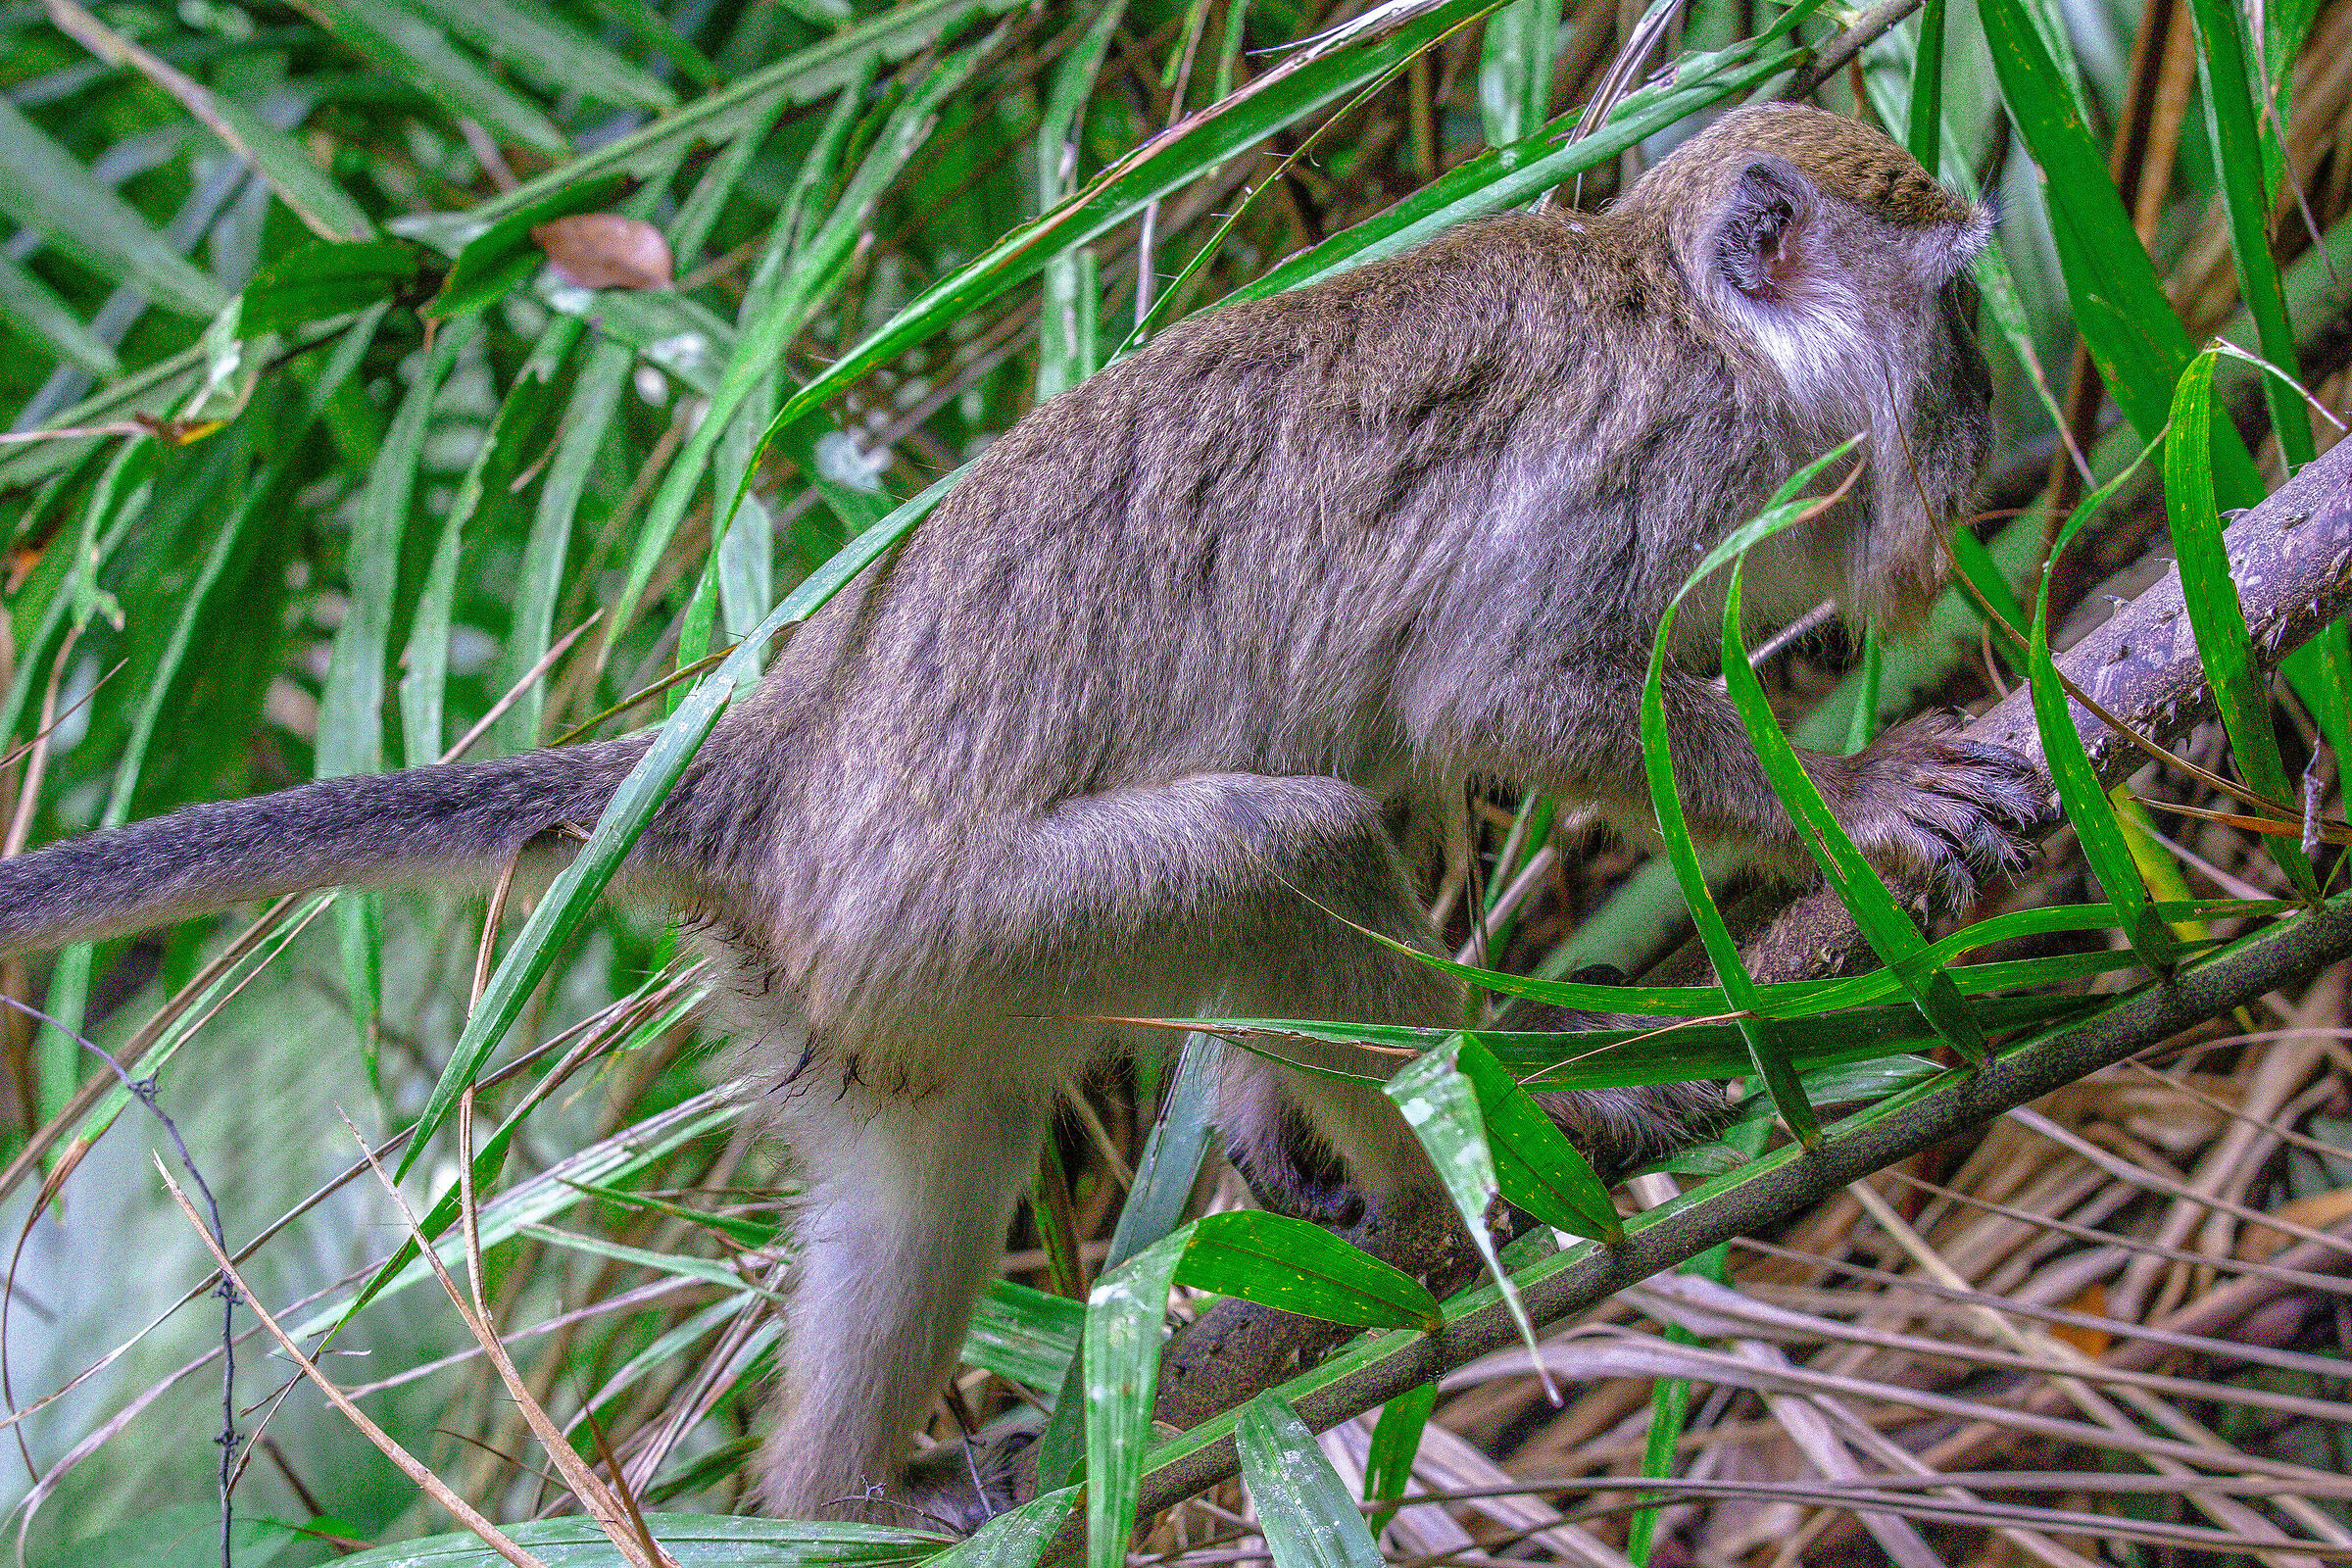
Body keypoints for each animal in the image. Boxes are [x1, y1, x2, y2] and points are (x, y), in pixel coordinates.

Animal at [0, 104, 2043, 1522]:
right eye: (1948, 323)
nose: (1993, 432)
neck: (1688, 316)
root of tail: (767, 771)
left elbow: (1406, 748)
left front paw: (1262, 1126)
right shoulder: (1659, 460)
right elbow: (1501, 695)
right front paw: (1859, 793)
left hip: (873, 995)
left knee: (942, 1163)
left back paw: (831, 1502)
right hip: (948, 919)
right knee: (1272, 844)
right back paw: (1517, 1136)